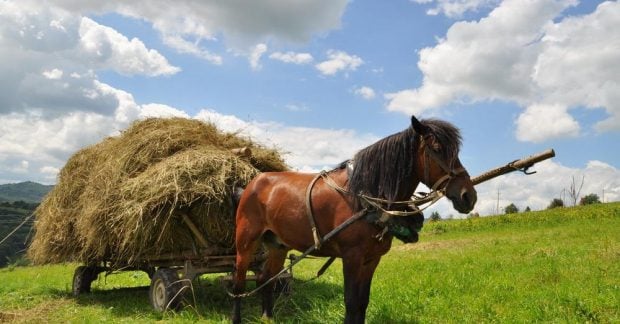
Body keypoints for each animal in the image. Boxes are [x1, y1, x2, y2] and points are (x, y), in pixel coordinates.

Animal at [230, 115, 478, 322]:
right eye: (437, 149)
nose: (468, 196)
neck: (363, 197)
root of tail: (251, 183)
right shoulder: (352, 257)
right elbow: (350, 303)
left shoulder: (371, 259)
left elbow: (362, 303)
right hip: (245, 242)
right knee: (239, 285)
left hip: (278, 245)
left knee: (266, 279)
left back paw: (267, 316)